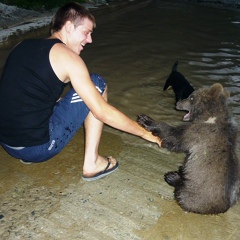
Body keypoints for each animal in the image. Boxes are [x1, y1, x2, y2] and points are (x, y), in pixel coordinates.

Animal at [138, 83, 239, 215]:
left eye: (191, 97)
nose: (178, 102)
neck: (210, 117)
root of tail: (223, 208)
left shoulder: (197, 132)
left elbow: (174, 136)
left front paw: (147, 120)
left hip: (196, 195)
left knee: (182, 194)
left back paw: (173, 177)